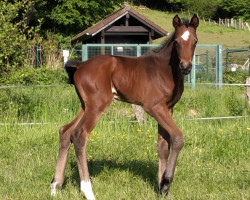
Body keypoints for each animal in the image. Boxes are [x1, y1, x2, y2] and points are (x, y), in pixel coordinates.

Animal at [50, 14, 199, 200]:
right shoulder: (154, 107)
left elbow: (163, 146)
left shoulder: (168, 108)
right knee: (79, 135)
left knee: (65, 131)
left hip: (85, 105)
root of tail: (81, 65)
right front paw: (165, 184)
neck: (166, 70)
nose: (185, 67)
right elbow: (178, 138)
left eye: (195, 41)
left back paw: (55, 186)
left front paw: (163, 190)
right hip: (97, 105)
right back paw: (88, 191)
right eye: (177, 42)